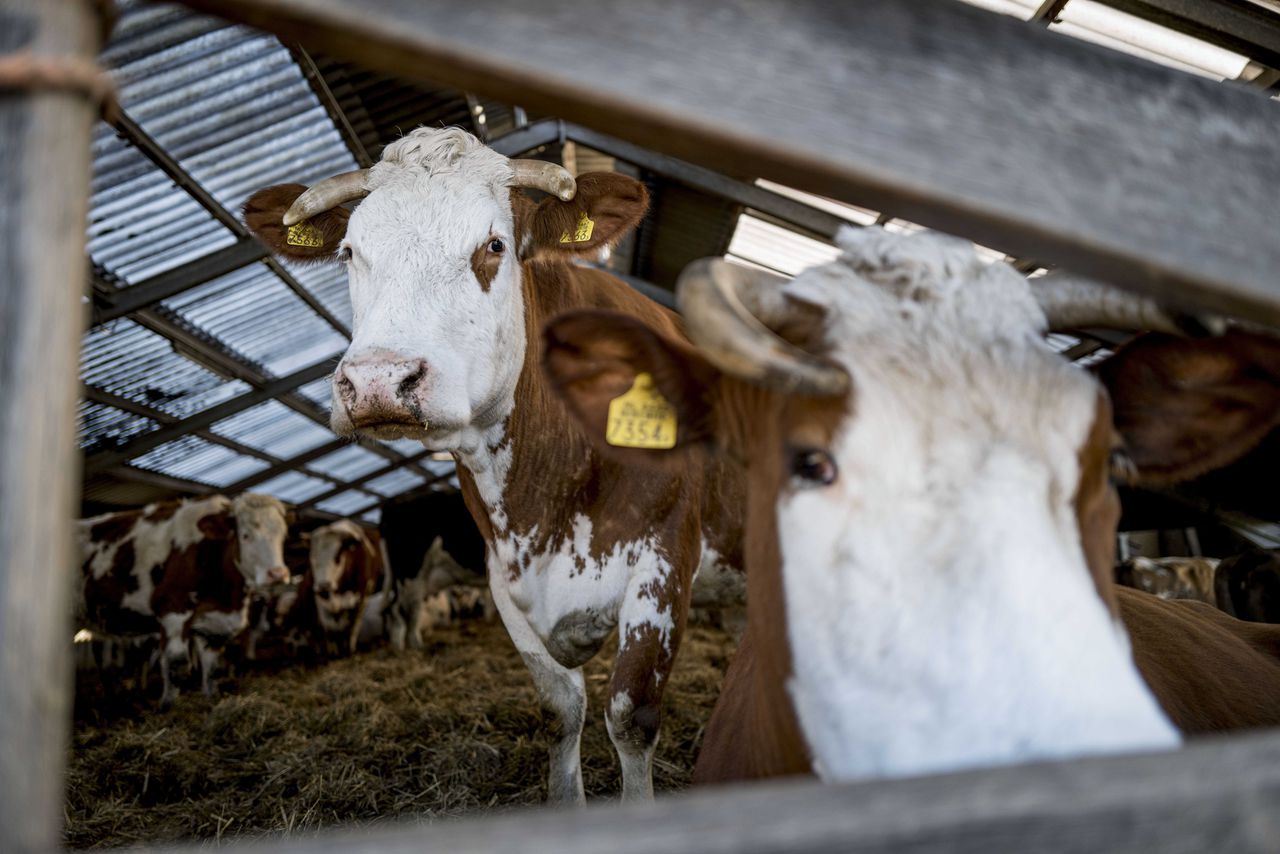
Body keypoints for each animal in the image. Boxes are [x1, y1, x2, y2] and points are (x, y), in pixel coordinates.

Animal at [78, 491, 291, 706]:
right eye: (246, 535)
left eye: (282, 536)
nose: (278, 574)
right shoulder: (173, 609)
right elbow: (175, 662)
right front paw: (167, 705)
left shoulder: (212, 625)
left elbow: (212, 669)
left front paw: (211, 699)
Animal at [240, 125, 747, 804]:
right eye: (348, 252)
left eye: (494, 244)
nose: (376, 382)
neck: (544, 494)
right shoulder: (505, 579)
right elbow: (560, 709)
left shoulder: (662, 566)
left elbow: (629, 716)